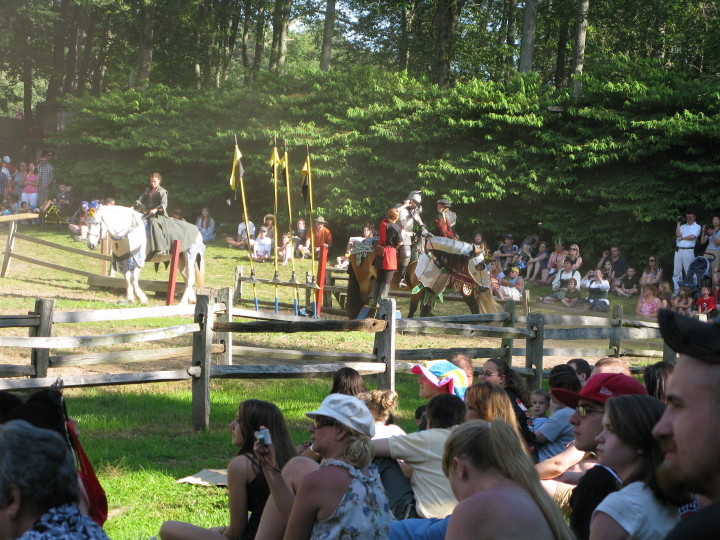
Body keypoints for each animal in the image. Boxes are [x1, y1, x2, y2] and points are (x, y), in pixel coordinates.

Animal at [346, 250, 498, 318]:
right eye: (477, 267)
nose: (484, 288)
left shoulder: (429, 290)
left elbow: (425, 309)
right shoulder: (417, 289)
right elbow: (414, 308)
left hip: (372, 281)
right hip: (364, 281)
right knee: (363, 299)